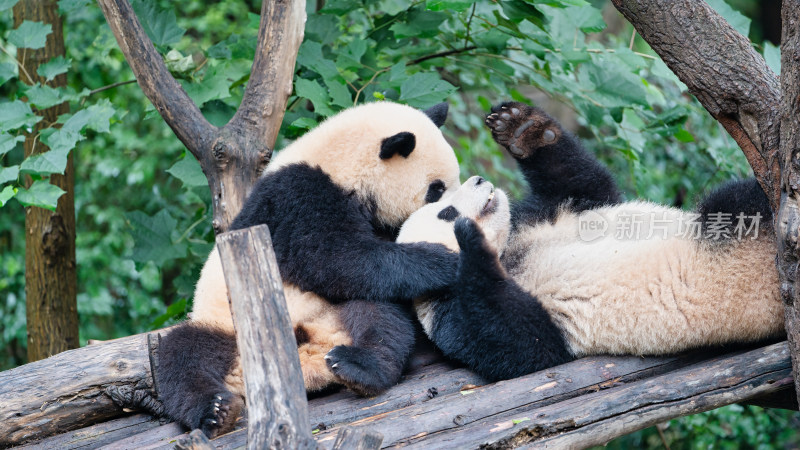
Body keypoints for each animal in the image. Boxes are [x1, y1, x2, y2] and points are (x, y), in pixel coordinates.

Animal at [155, 101, 462, 436]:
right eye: (436, 189)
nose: (450, 210)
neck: (339, 163)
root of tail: (306, 358)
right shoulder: (295, 199)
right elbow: (336, 260)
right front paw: (441, 259)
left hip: (331, 316)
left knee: (380, 317)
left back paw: (359, 368)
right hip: (224, 325)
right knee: (181, 355)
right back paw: (215, 411)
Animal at [396, 101, 784, 380]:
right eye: (445, 211)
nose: (478, 180)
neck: (509, 250)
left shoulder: (551, 213)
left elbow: (587, 185)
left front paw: (521, 127)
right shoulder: (449, 312)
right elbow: (523, 343)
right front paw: (471, 244)